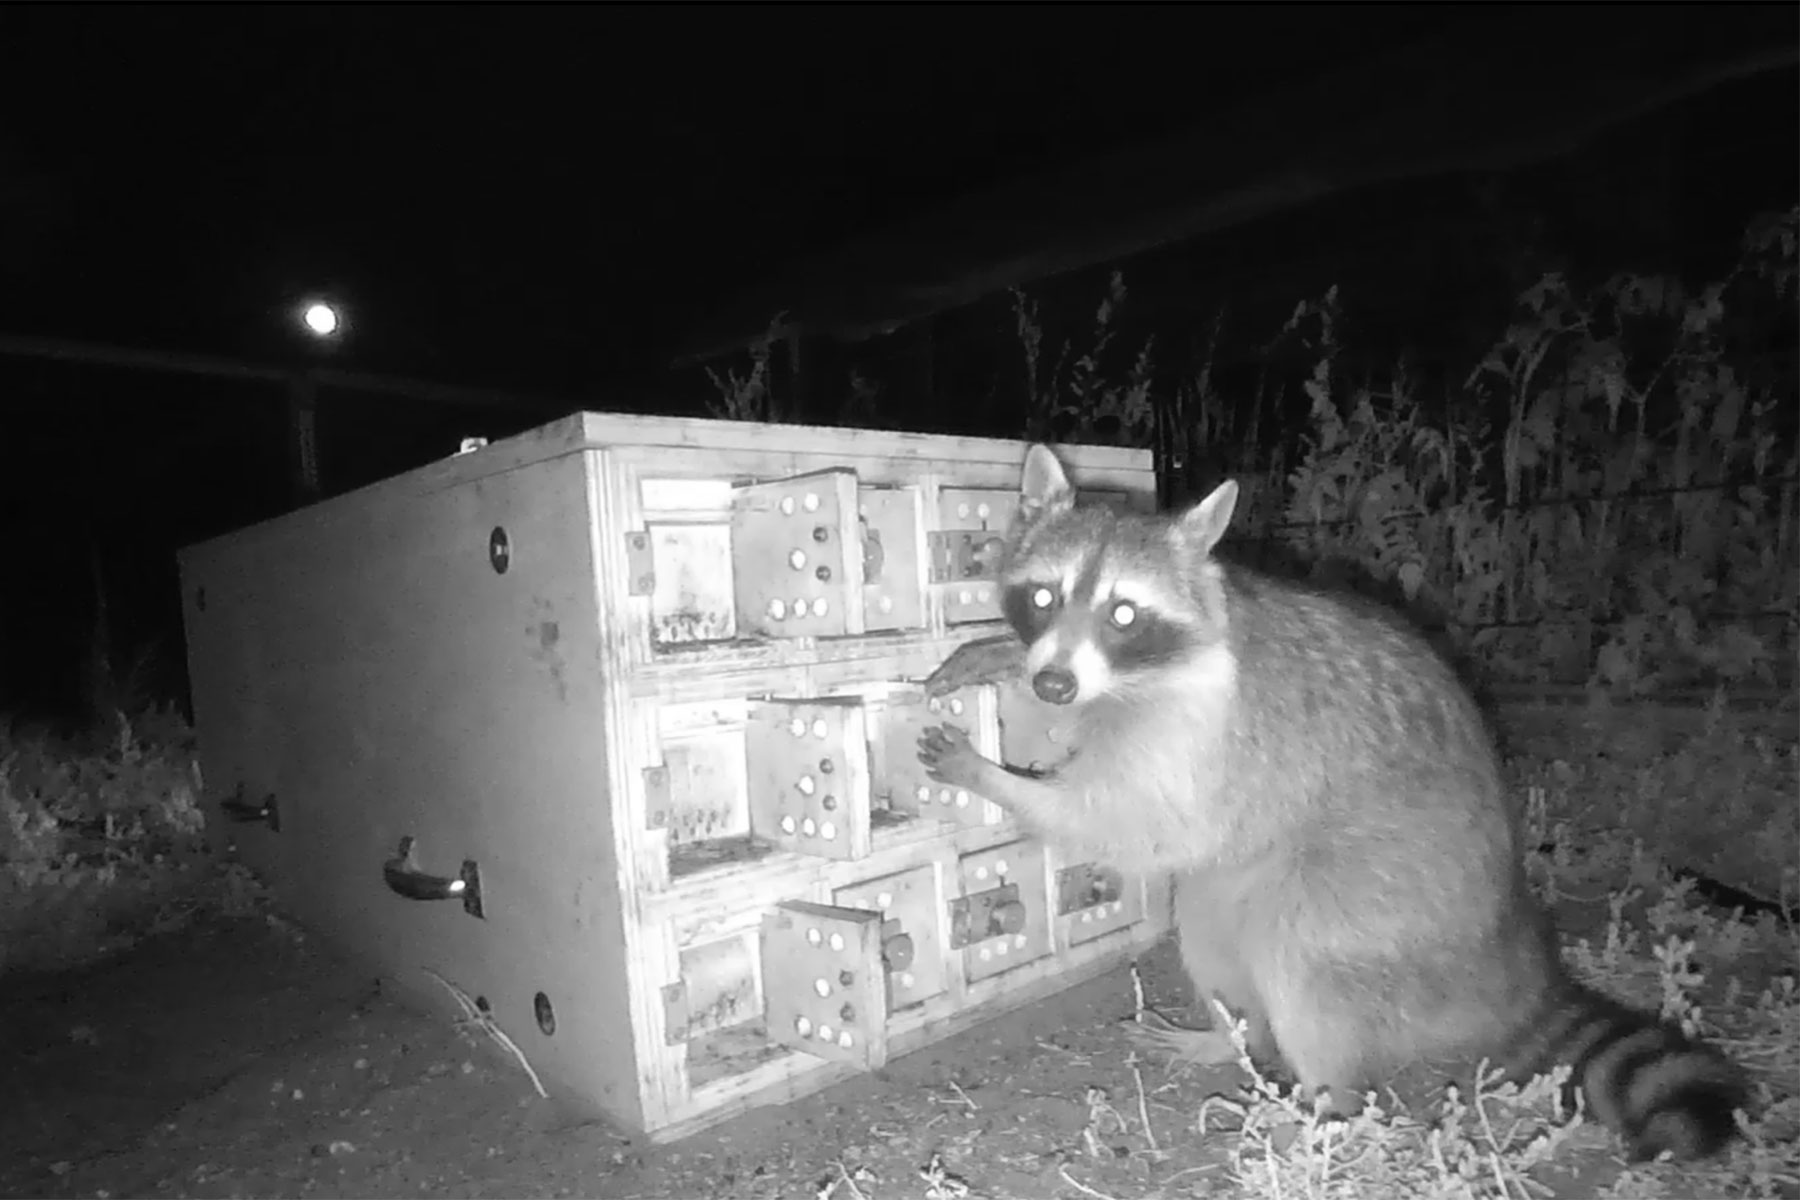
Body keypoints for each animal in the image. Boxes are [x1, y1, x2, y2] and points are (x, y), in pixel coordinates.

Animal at [921, 444, 1749, 1165]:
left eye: (1124, 615)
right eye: (1043, 596)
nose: (1054, 682)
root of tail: (1503, 934)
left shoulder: (1193, 738)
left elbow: (1123, 823)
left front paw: (994, 779)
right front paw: (1001, 658)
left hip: (1379, 895)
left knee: (1303, 963)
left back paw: (1325, 1108)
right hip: (1264, 884)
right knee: (1211, 929)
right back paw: (1234, 1037)